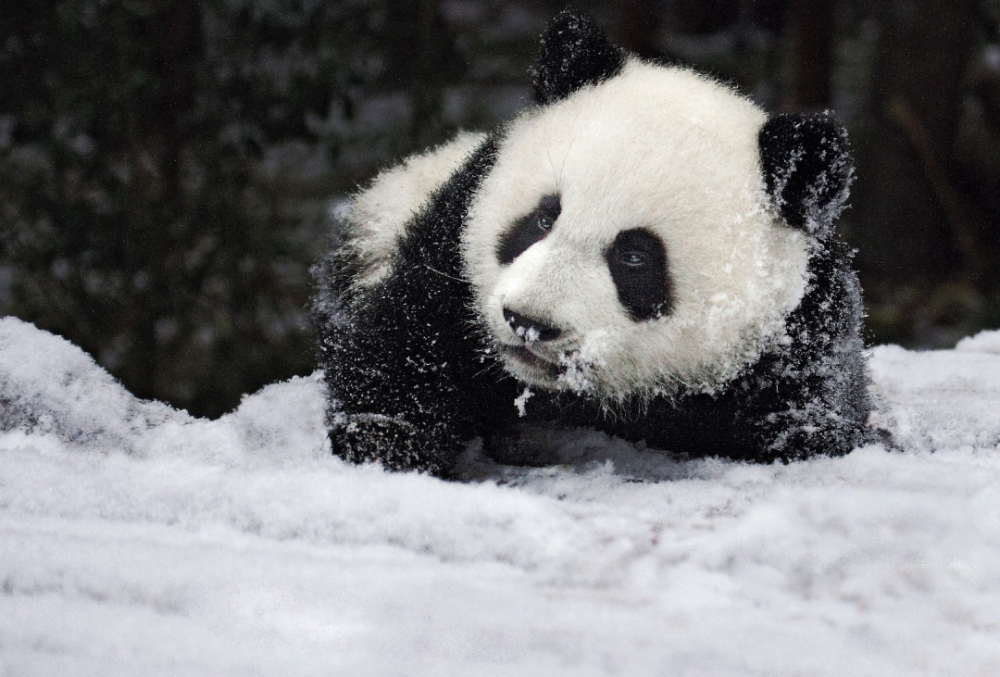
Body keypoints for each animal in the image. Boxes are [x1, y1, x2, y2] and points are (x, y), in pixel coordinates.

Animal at [314, 9, 876, 476]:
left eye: (634, 256)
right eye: (544, 218)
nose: (528, 322)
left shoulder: (798, 332)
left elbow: (810, 419)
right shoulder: (452, 249)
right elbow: (407, 337)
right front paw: (385, 441)